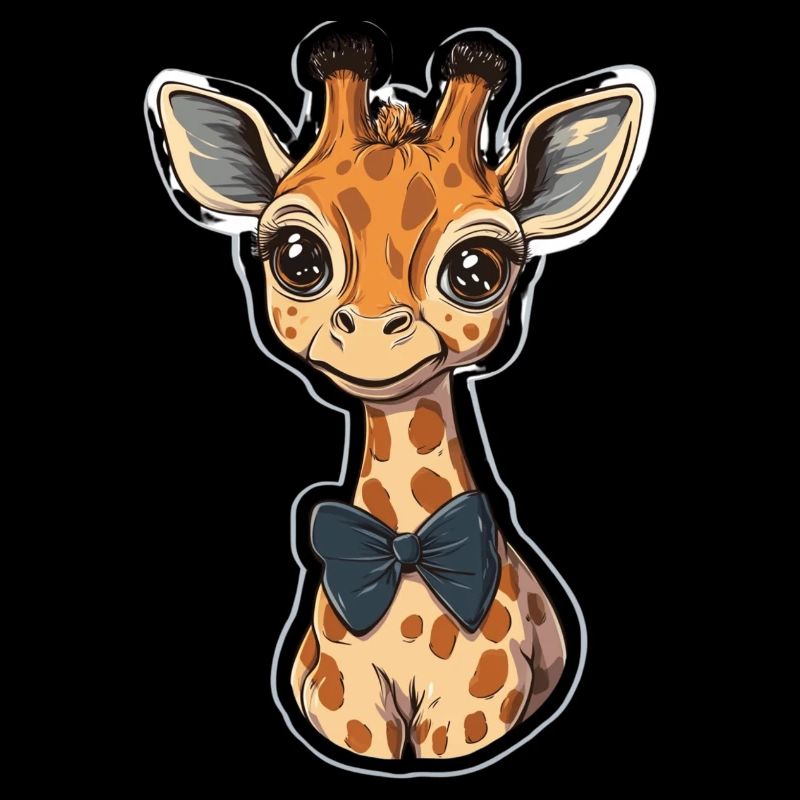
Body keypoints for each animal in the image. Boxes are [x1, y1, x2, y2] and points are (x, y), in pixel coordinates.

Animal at [149, 27, 653, 762]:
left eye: (477, 270)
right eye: (297, 257)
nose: (369, 335)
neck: (407, 557)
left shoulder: (474, 713)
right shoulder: (346, 706)